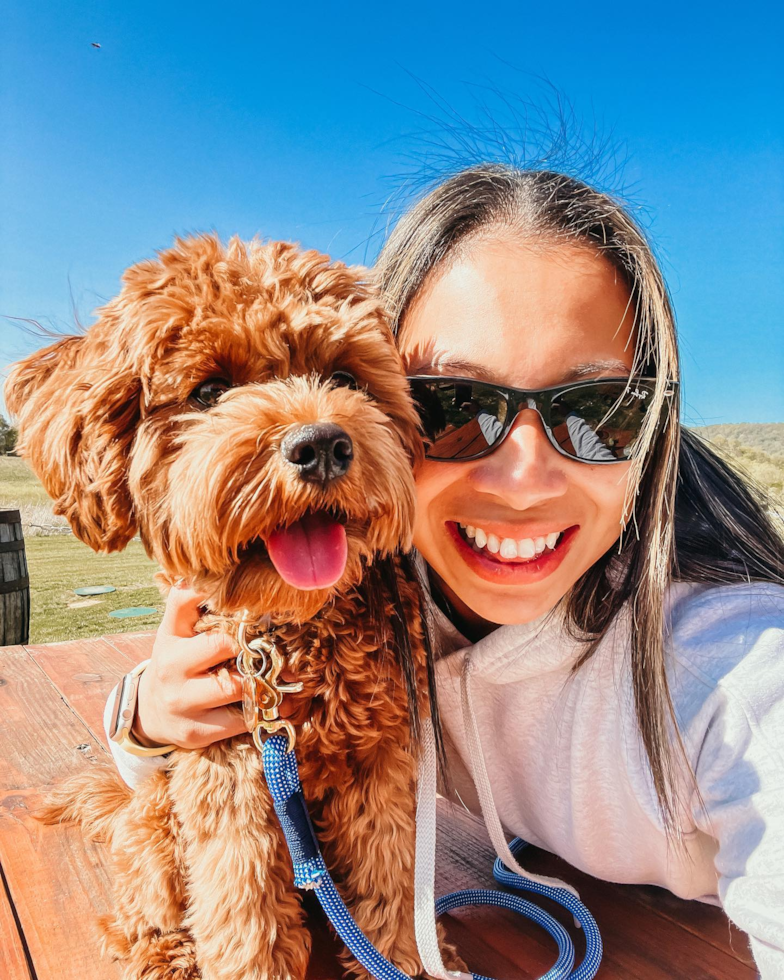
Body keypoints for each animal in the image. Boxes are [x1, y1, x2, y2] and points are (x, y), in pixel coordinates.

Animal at [4, 237, 460, 980]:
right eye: (210, 391)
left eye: (345, 375)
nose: (322, 444)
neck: (290, 639)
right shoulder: (229, 774)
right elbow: (244, 915)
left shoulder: (381, 767)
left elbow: (391, 886)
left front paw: (403, 959)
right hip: (156, 820)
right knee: (143, 906)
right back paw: (164, 953)